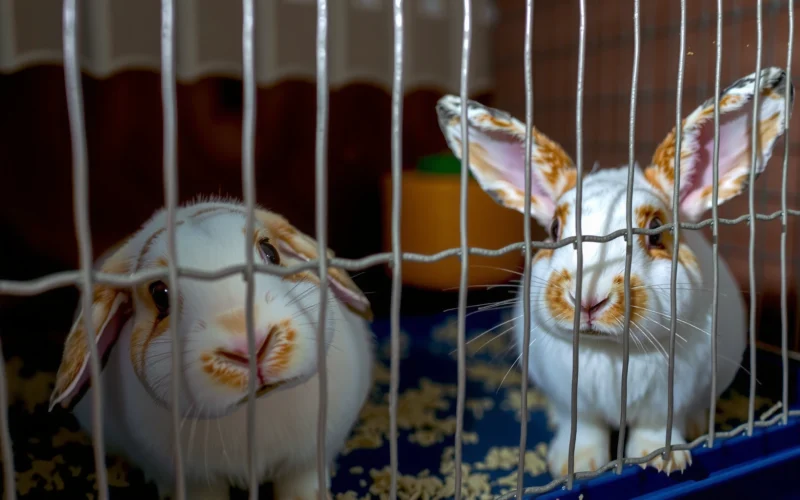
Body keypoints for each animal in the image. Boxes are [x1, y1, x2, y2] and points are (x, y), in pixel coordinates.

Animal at [48, 197, 376, 500]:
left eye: (270, 252)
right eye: (160, 294)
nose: (250, 346)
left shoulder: (307, 461)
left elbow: (301, 487)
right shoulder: (195, 480)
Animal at [435, 67, 793, 478]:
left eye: (655, 231)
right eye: (554, 230)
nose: (589, 299)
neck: (609, 351)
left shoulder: (668, 402)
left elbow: (655, 430)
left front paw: (663, 461)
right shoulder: (574, 404)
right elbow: (583, 429)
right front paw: (573, 465)